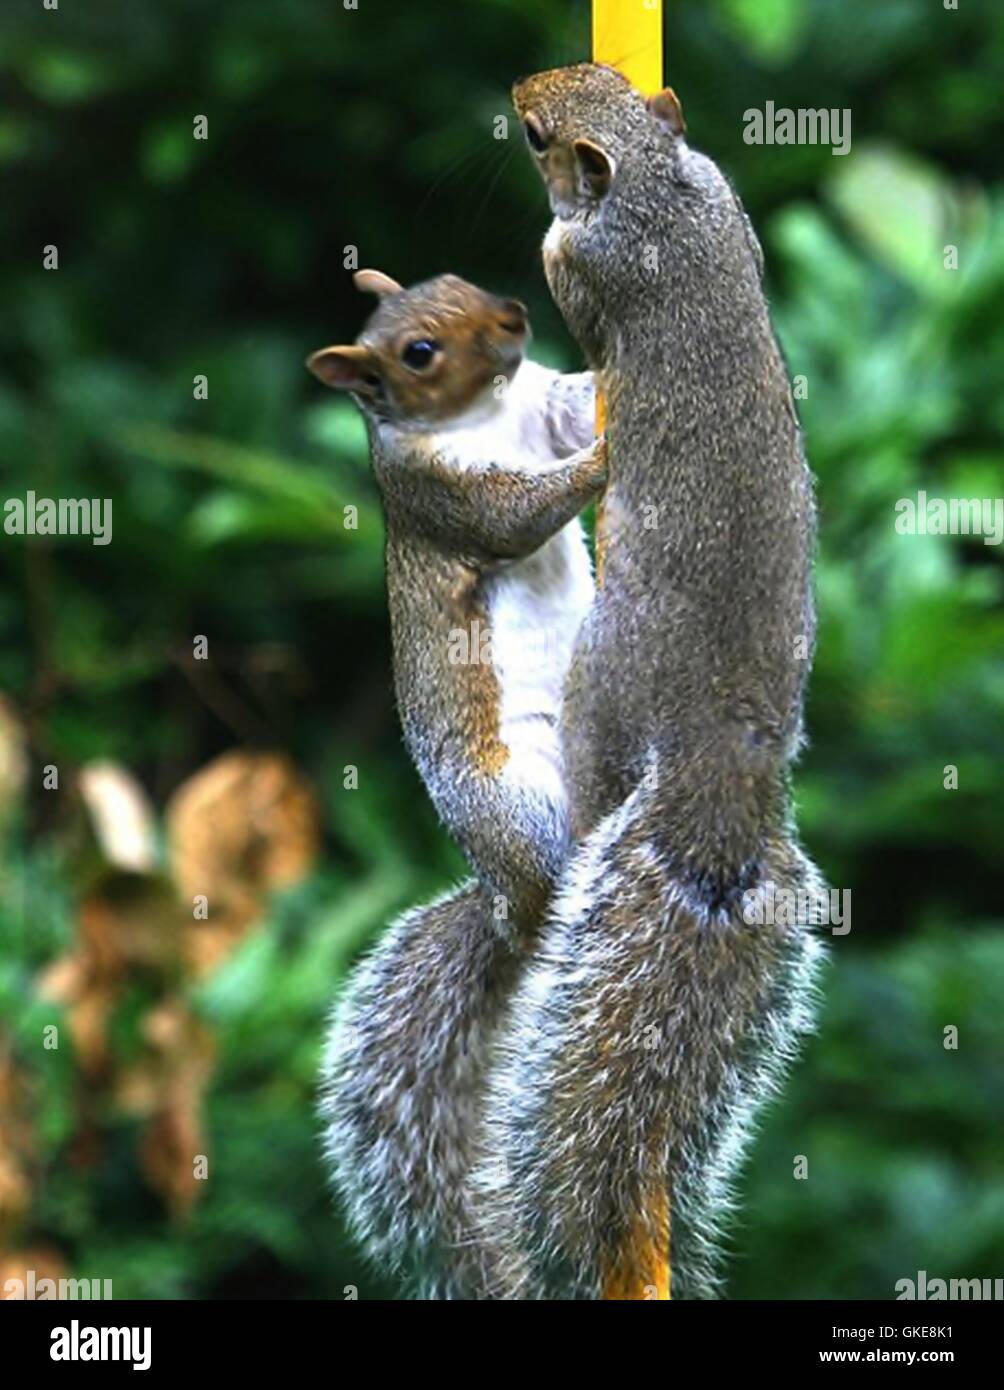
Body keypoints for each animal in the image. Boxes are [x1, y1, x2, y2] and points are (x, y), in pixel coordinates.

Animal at [308, 270, 605, 1295]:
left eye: (458, 284)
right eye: (418, 354)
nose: (514, 316)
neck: (490, 409)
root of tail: (502, 903)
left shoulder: (543, 400)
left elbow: (576, 401)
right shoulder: (442, 497)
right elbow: (517, 511)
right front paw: (601, 462)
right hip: (521, 800)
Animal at [459, 64, 827, 1300]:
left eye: (535, 135)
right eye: (610, 82)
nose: (518, 86)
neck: (660, 189)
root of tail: (723, 747)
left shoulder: (590, 262)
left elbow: (564, 275)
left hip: (601, 688)